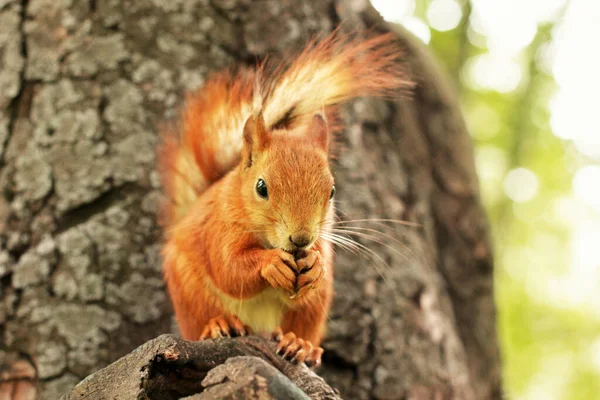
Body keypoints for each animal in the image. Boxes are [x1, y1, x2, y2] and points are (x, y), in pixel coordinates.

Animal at [157, 30, 410, 366]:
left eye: (332, 191)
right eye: (261, 187)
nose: (301, 239)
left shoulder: (323, 242)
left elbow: (317, 264)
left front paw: (315, 264)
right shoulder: (219, 227)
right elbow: (229, 268)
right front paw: (271, 264)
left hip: (313, 309)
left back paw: (298, 343)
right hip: (189, 290)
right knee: (204, 316)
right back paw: (219, 324)